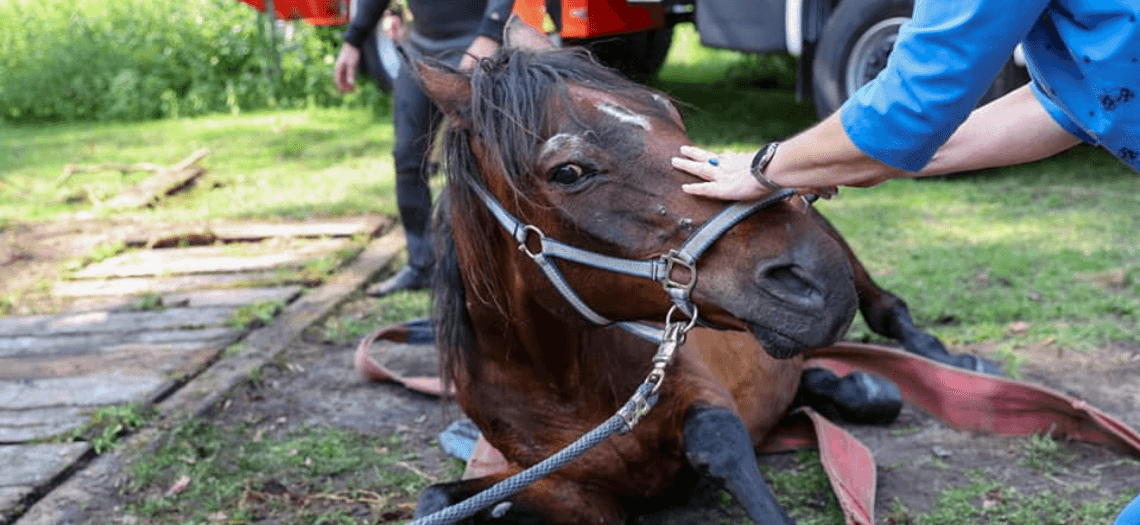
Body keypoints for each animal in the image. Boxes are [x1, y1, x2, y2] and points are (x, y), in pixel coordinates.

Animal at [412, 16, 998, 523]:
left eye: (666, 109)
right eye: (569, 171)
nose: (815, 278)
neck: (559, 381)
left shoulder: (702, 398)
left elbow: (718, 442)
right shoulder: (565, 485)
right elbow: (436, 498)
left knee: (888, 313)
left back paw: (953, 363)